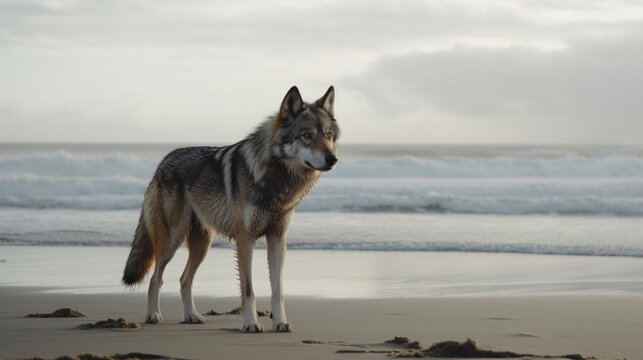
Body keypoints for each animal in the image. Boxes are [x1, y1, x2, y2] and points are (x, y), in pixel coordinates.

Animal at [122, 86, 340, 334]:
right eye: (307, 135)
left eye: (328, 136)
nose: (332, 158)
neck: (274, 181)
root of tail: (161, 163)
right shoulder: (245, 239)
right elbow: (248, 289)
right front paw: (251, 323)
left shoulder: (277, 239)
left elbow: (278, 290)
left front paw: (280, 322)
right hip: (172, 239)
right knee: (155, 278)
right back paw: (153, 314)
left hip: (201, 246)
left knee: (184, 280)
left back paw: (191, 316)